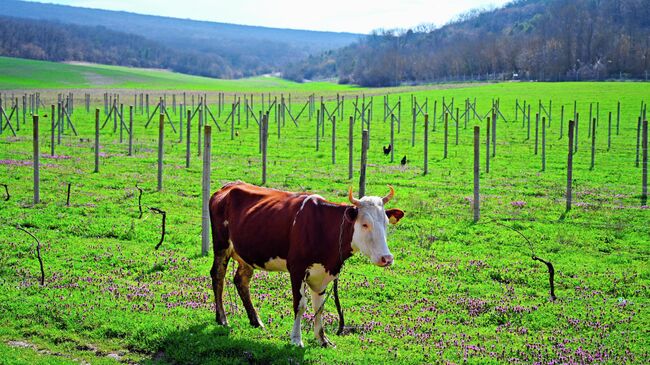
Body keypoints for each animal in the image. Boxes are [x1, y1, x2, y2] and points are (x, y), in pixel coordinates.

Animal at [208, 181, 402, 346]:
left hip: (246, 254)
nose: (387, 258)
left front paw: (323, 339)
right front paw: (296, 339)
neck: (324, 228)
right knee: (217, 276)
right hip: (221, 245)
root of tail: (228, 186)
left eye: (386, 223)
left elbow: (320, 307)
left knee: (241, 280)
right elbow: (300, 305)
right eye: (364, 224)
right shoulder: (297, 269)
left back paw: (256, 321)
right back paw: (222, 318)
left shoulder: (323, 272)